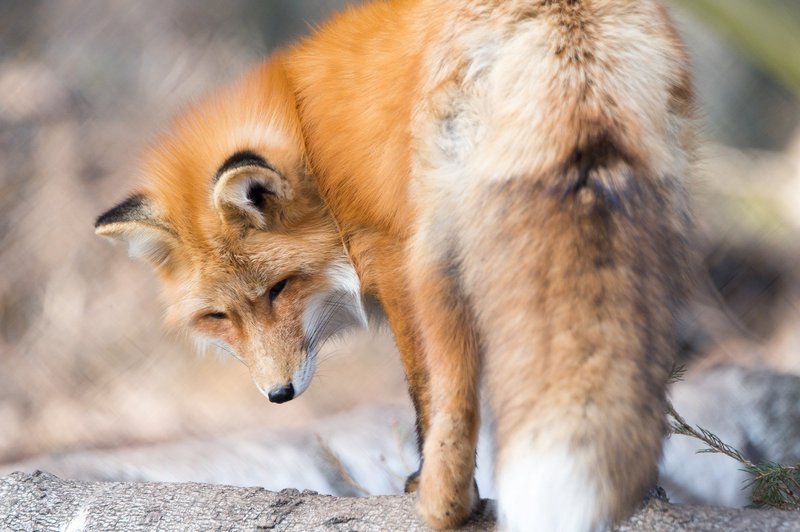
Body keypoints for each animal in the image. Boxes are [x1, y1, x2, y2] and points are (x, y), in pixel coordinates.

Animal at [95, 2, 692, 528]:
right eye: (219, 317)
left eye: (279, 288)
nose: (278, 395)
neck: (312, 146)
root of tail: (560, 17)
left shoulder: (390, 260)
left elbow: (421, 391)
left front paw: (422, 479)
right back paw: (642, 488)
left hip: (440, 258)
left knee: (459, 393)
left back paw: (447, 503)